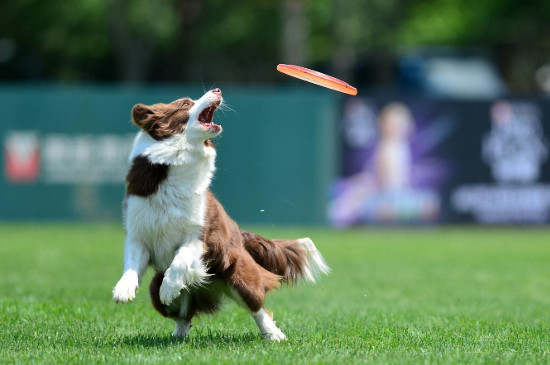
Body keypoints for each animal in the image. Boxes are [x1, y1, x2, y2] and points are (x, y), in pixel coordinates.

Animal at [111, 89, 328, 342]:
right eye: (186, 104)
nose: (217, 90)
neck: (177, 162)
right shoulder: (139, 230)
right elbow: (132, 260)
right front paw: (123, 289)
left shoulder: (202, 234)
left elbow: (181, 259)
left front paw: (170, 287)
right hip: (155, 288)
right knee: (182, 315)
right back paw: (177, 333)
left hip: (240, 274)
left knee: (257, 306)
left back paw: (274, 334)